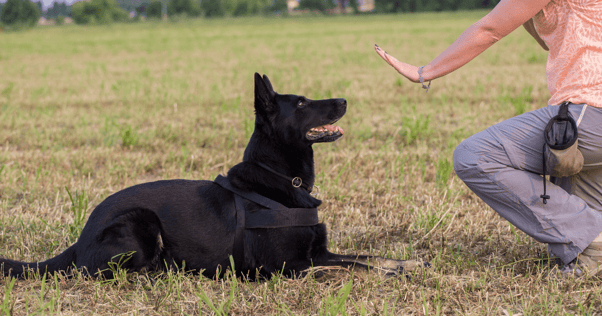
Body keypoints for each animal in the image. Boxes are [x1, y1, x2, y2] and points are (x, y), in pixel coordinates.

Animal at [1, 73, 422, 278]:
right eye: (302, 103)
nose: (344, 100)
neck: (282, 181)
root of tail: (82, 236)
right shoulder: (289, 267)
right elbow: (350, 268)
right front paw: (387, 276)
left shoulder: (319, 252)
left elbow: (364, 256)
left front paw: (406, 265)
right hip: (141, 223)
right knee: (107, 273)